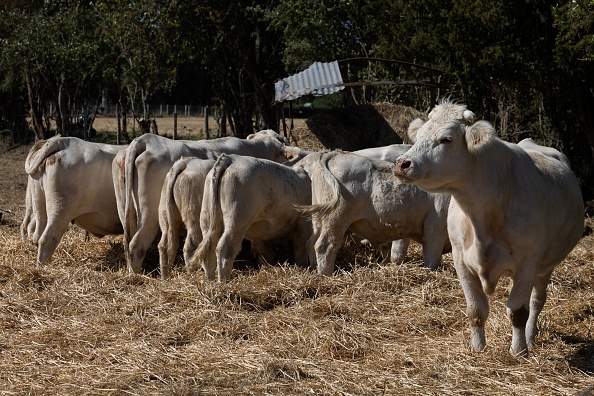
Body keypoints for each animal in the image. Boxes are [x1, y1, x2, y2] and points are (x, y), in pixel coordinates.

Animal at [21, 137, 125, 266]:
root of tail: (62, 141)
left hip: (38, 204)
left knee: (33, 232)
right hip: (60, 212)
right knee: (47, 239)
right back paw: (43, 267)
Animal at [194, 152, 312, 282]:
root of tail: (230, 158)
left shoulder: (261, 236)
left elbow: (264, 253)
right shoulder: (303, 223)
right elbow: (301, 248)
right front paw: (302, 268)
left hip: (207, 217)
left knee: (209, 249)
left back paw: (211, 280)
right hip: (236, 220)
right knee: (225, 248)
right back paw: (223, 281)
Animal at [296, 150, 448, 276]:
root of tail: (335, 153)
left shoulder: (404, 227)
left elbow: (396, 253)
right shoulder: (435, 232)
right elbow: (431, 261)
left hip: (319, 220)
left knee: (310, 243)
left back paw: (314, 268)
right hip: (335, 219)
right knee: (325, 246)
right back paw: (326, 275)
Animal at [390, 100, 580, 358]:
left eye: (447, 139)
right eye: (419, 136)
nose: (402, 164)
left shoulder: (528, 262)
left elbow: (518, 311)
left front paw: (518, 351)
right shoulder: (461, 260)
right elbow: (476, 310)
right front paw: (477, 348)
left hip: (545, 265)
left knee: (536, 301)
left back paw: (530, 339)